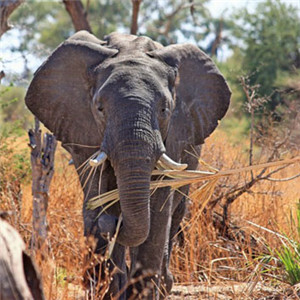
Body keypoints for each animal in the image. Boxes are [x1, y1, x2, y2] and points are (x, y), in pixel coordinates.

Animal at [25, 29, 232, 298]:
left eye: (165, 109)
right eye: (100, 108)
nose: (113, 222)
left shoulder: (174, 135)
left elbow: (158, 208)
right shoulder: (84, 130)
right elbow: (97, 191)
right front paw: (107, 289)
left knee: (175, 212)